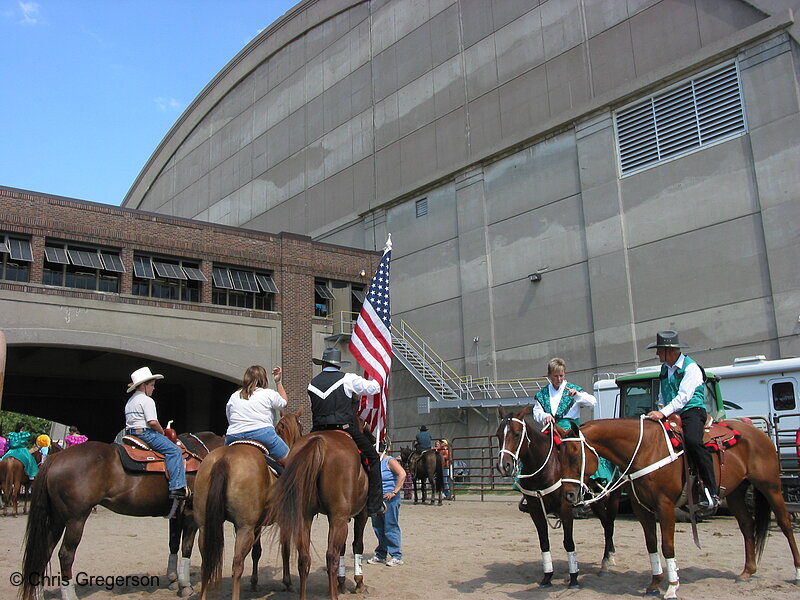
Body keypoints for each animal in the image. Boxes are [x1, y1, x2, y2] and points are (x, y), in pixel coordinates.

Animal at [21, 428, 222, 596]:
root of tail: (56, 458)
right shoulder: (190, 514)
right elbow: (187, 547)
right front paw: (185, 585)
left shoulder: (175, 514)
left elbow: (173, 544)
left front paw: (172, 579)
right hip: (75, 519)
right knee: (65, 555)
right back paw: (70, 595)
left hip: (56, 519)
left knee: (44, 551)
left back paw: (38, 593)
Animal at [195, 412, 304, 600]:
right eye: (301, 427)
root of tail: (225, 458)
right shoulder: (281, 521)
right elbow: (285, 549)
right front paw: (288, 582)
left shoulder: (257, 525)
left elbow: (257, 551)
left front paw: (254, 582)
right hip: (244, 528)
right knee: (237, 564)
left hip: (205, 526)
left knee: (206, 562)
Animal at [268, 432, 370, 600]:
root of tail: (319, 441)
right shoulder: (360, 515)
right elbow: (357, 545)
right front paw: (358, 583)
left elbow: (343, 548)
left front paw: (341, 583)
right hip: (338, 518)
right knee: (331, 556)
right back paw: (333, 595)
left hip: (305, 518)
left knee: (304, 558)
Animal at [496, 406, 620, 588]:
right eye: (498, 434)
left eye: (517, 434)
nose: (503, 466)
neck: (545, 469)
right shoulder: (535, 510)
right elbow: (544, 542)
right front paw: (547, 577)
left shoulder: (565, 508)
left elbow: (568, 543)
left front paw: (574, 578)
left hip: (605, 499)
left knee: (608, 525)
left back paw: (606, 563)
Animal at [556, 418, 800, 600]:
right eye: (559, 456)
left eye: (575, 455)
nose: (568, 495)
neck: (644, 450)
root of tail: (759, 433)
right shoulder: (642, 509)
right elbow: (651, 544)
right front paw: (654, 583)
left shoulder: (665, 507)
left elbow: (667, 546)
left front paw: (672, 587)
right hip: (736, 492)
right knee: (747, 525)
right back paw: (747, 572)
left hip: (770, 486)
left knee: (785, 523)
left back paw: (797, 571)